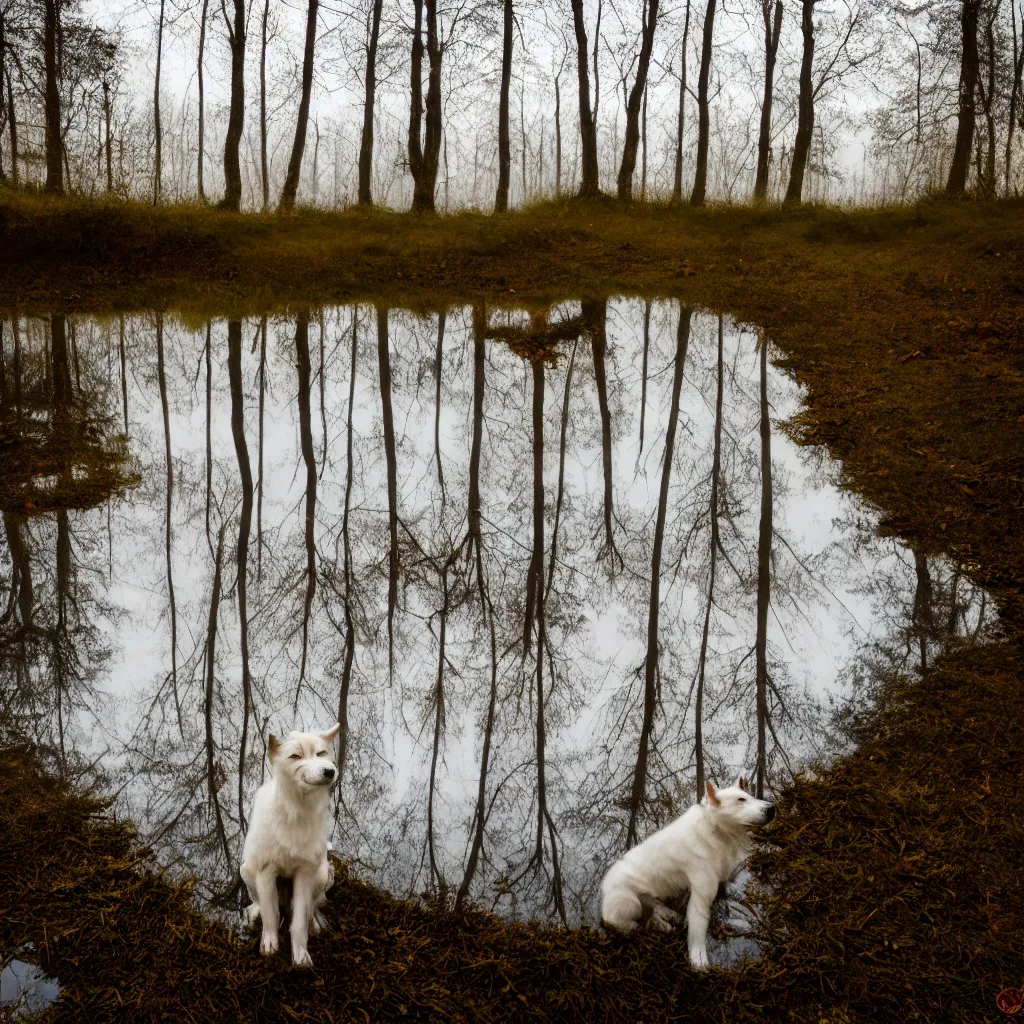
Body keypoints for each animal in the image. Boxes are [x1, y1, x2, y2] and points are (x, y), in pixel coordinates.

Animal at [238, 724, 339, 962]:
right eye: (295, 756)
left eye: (321, 753)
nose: (329, 771)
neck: (296, 811)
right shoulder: (265, 871)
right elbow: (270, 914)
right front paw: (269, 944)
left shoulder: (305, 871)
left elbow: (300, 918)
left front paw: (301, 956)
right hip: (246, 870)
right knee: (260, 902)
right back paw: (253, 914)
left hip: (321, 874)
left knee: (314, 903)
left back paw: (316, 921)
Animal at [598, 778, 774, 970]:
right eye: (741, 800)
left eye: (750, 796)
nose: (772, 808)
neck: (713, 831)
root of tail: (604, 886)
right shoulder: (701, 896)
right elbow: (697, 931)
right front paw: (699, 961)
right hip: (628, 902)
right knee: (621, 922)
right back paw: (644, 926)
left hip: (646, 896)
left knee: (652, 906)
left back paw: (666, 918)